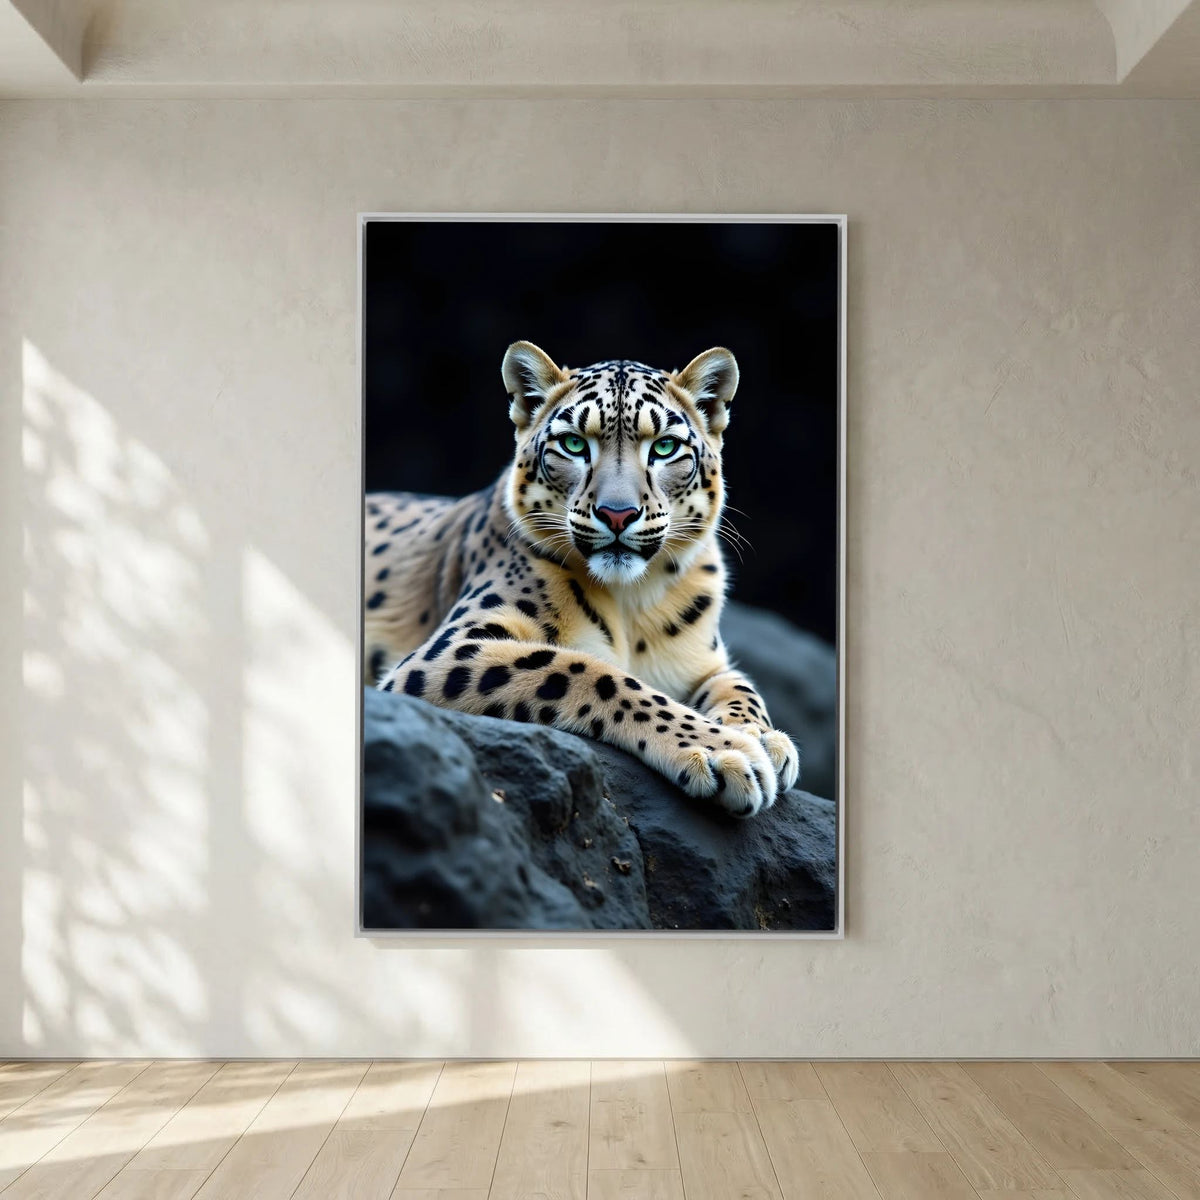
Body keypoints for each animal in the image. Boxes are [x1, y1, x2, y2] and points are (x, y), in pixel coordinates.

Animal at [363, 341, 800, 817]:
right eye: (573, 443)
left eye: (665, 447)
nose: (617, 513)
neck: (632, 603)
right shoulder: (451, 648)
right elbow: (586, 670)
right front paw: (727, 751)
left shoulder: (704, 662)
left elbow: (741, 687)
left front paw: (764, 738)